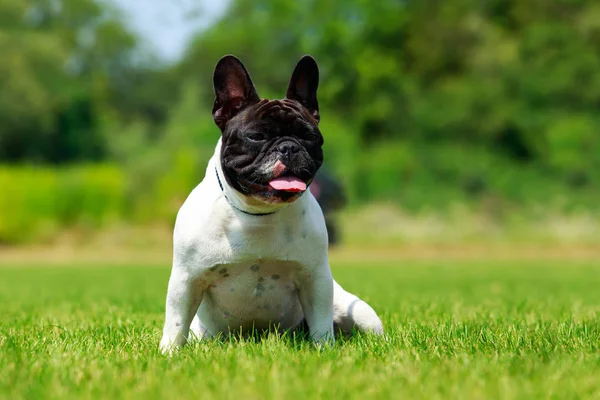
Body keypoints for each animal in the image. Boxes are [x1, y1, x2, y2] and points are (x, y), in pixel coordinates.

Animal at [159, 54, 384, 352]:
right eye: (257, 136)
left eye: (310, 137)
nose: (289, 146)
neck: (257, 214)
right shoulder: (186, 279)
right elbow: (175, 322)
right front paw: (169, 353)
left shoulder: (316, 278)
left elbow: (321, 324)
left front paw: (323, 350)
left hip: (356, 310)